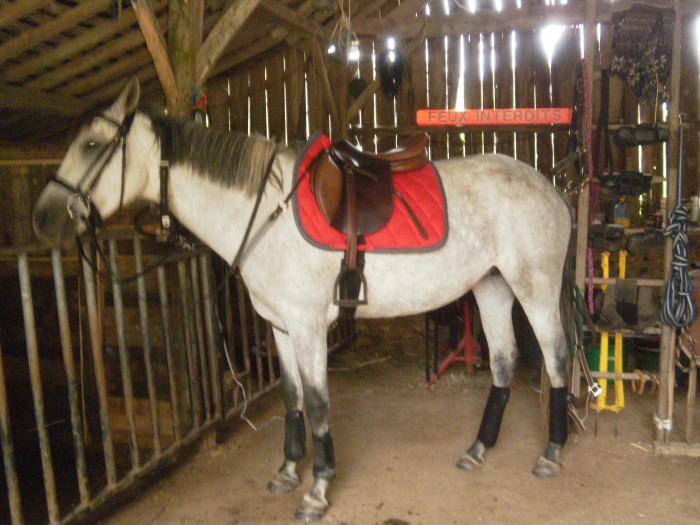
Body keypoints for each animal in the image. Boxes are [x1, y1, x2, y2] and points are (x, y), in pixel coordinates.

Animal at [33, 78, 573, 522]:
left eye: (92, 144)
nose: (44, 218)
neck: (265, 212)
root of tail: (550, 189)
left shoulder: (310, 325)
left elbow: (316, 402)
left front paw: (318, 488)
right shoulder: (280, 325)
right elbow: (293, 397)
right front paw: (289, 470)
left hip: (535, 288)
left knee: (556, 358)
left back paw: (551, 453)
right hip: (492, 286)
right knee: (503, 361)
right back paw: (479, 448)